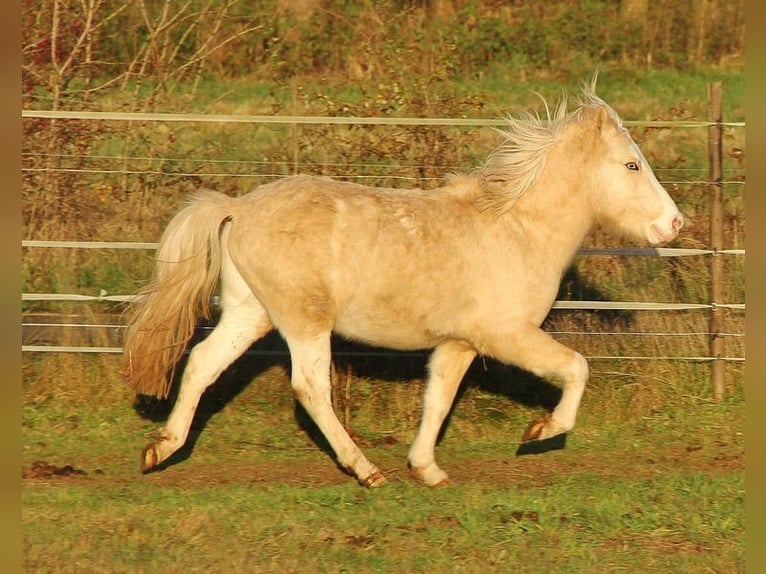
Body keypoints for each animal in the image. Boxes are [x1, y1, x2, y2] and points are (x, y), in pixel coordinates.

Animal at [122, 77, 684, 488]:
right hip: (304, 321)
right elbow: (575, 368)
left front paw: (428, 470)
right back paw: (366, 471)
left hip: (250, 314)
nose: (674, 224)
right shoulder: (506, 335)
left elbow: (437, 400)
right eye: (631, 164)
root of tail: (238, 208)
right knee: (310, 388)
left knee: (201, 364)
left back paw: (159, 449)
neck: (517, 229)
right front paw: (541, 429)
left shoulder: (458, 344)